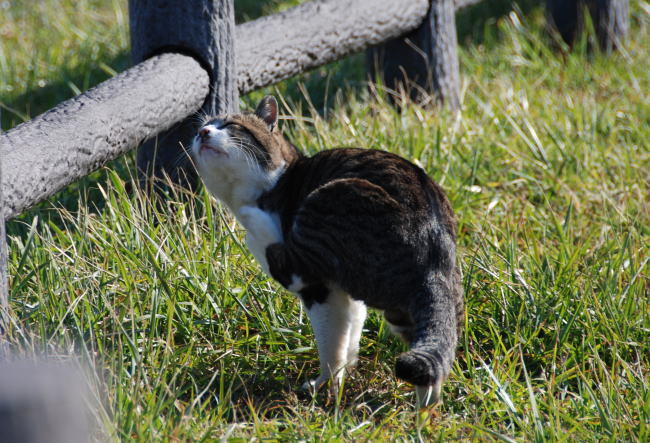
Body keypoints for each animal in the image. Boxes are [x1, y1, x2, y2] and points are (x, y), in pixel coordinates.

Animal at [190, 95, 464, 408]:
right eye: (198, 130)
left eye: (229, 125)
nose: (202, 133)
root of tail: (435, 253)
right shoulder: (343, 293)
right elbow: (348, 336)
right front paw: (342, 378)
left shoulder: (318, 287)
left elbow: (330, 343)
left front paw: (327, 387)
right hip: (405, 313)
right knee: (434, 362)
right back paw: (424, 411)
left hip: (327, 203)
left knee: (280, 257)